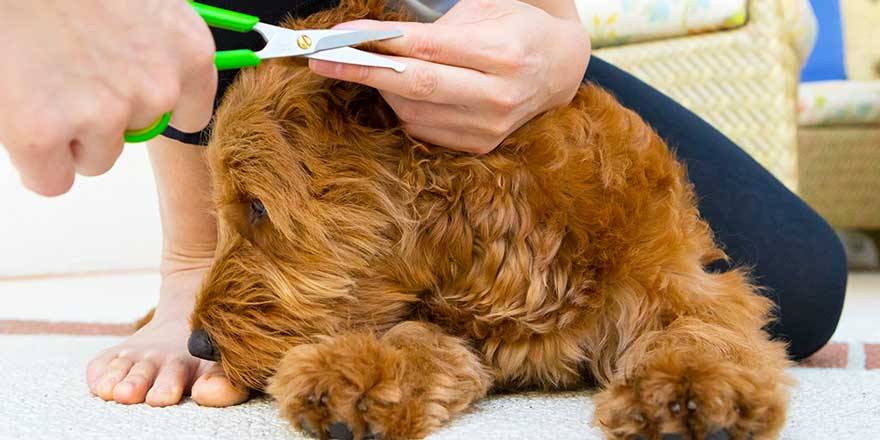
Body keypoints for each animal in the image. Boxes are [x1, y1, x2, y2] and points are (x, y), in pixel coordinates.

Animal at [189, 0, 796, 436]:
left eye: (257, 206)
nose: (198, 346)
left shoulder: (687, 285)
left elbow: (701, 336)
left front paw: (689, 391)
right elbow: (413, 337)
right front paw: (354, 374)